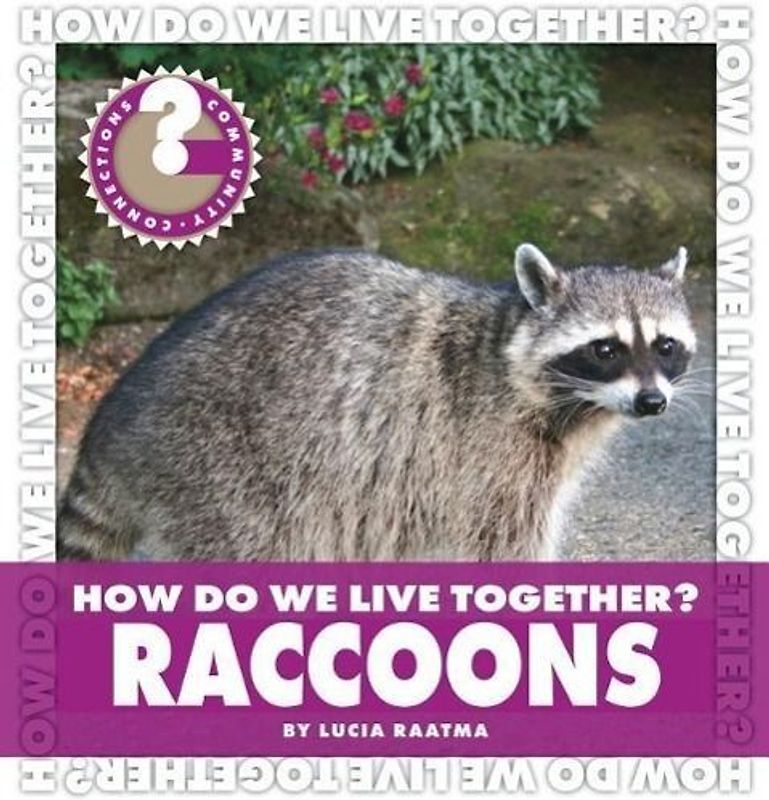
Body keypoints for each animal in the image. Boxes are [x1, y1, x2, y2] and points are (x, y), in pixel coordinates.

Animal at [58, 244, 695, 562]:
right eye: (606, 349)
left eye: (665, 346)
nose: (652, 402)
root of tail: (114, 424)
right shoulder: (492, 452)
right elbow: (505, 543)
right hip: (222, 472)